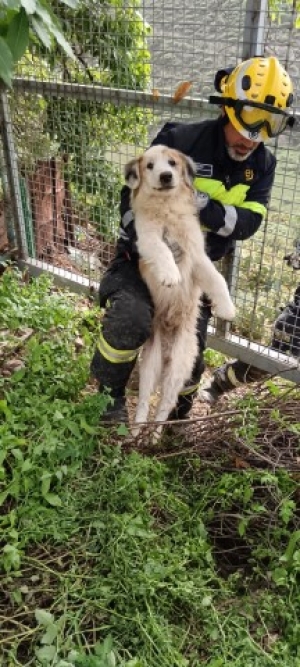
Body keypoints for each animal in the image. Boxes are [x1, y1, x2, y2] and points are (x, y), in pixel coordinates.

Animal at [123, 144, 234, 440]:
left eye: (172, 163)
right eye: (150, 166)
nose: (165, 176)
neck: (167, 209)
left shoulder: (197, 254)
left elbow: (217, 279)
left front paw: (228, 308)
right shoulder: (147, 238)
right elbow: (162, 250)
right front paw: (170, 275)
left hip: (179, 369)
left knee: (164, 406)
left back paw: (155, 436)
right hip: (149, 366)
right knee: (144, 402)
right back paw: (137, 432)